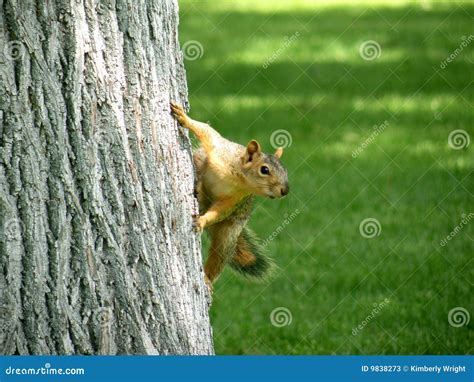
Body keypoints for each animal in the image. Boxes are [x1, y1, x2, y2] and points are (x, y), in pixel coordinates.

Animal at [170, 101, 288, 292]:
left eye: (285, 170)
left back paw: (207, 279)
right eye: (264, 170)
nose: (285, 190)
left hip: (229, 233)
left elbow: (220, 211)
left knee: (220, 254)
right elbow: (205, 131)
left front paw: (202, 221)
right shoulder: (219, 149)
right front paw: (183, 117)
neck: (237, 178)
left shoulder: (235, 199)